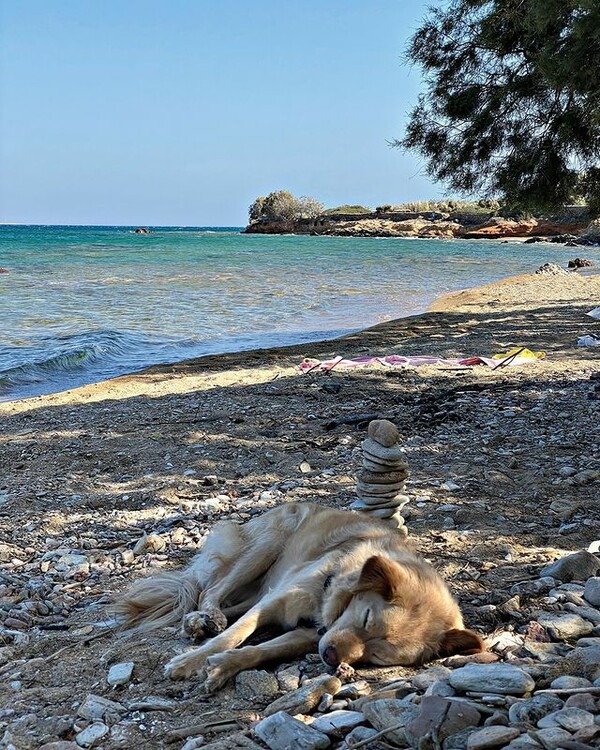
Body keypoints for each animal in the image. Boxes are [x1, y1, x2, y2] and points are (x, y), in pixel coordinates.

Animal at [116, 506, 482, 692]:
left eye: (378, 657)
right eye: (366, 619)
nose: (332, 657)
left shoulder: (308, 634)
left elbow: (261, 651)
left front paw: (223, 667)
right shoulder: (275, 604)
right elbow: (234, 635)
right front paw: (189, 662)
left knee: (231, 601)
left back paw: (202, 621)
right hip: (267, 546)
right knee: (211, 590)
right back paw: (205, 618)